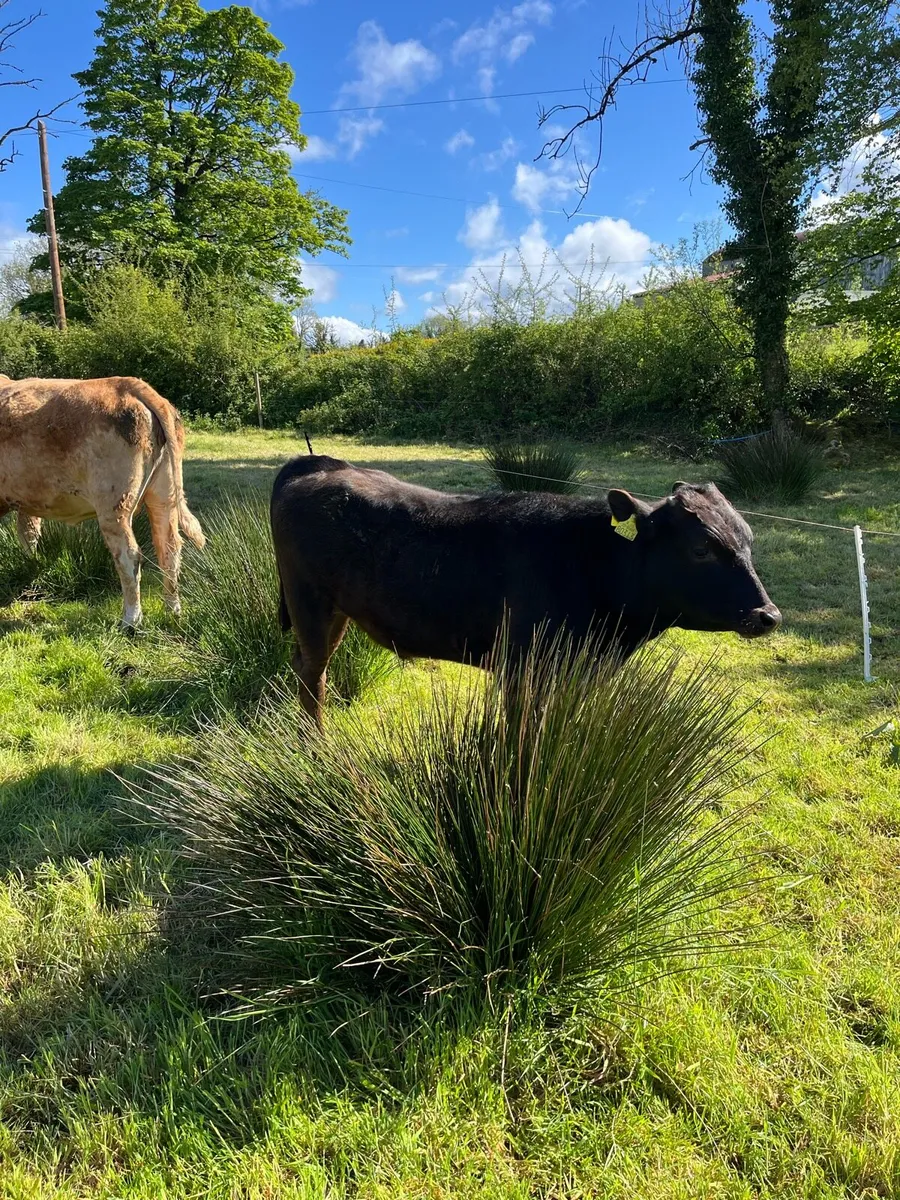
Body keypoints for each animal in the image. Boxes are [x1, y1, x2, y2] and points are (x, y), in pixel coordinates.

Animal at [0, 374, 205, 627]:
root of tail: (127, 384)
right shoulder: (27, 501)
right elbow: (29, 534)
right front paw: (31, 564)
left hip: (114, 505)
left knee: (129, 556)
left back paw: (131, 620)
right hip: (163, 496)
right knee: (169, 548)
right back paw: (172, 610)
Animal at [270, 454, 781, 726]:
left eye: (748, 539)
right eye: (701, 549)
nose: (768, 616)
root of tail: (320, 463)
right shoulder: (521, 668)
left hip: (336, 609)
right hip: (309, 601)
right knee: (313, 674)